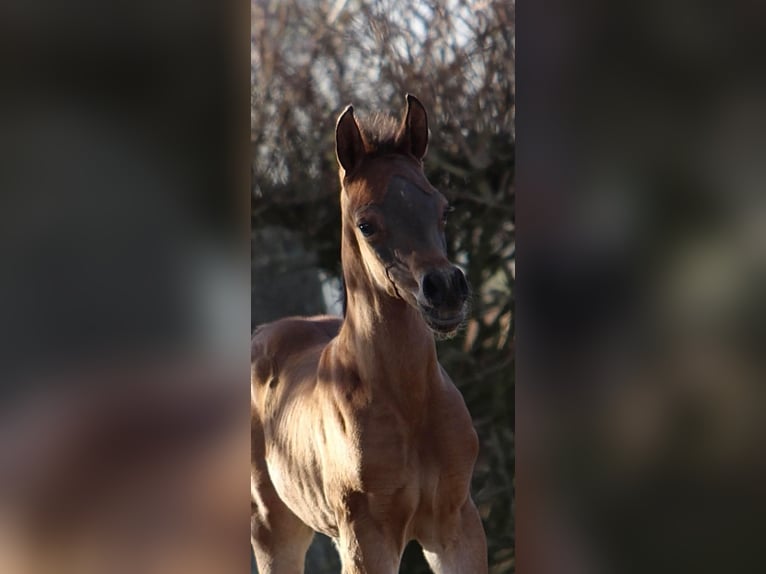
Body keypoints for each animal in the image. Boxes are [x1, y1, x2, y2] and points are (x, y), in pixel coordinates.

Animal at [254, 97, 492, 572]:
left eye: (444, 209)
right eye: (366, 225)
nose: (446, 291)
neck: (409, 403)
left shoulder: (457, 524)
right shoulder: (368, 538)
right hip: (274, 529)